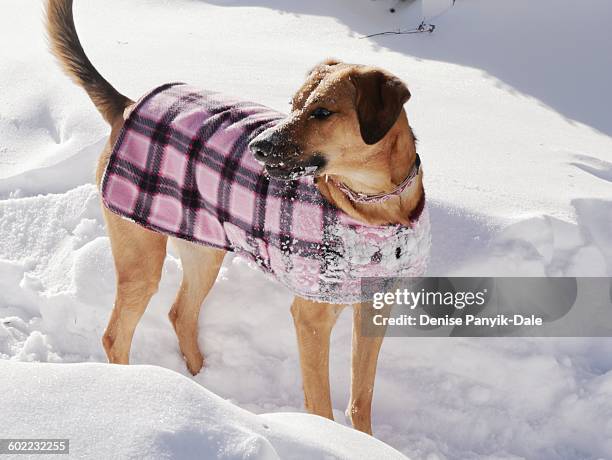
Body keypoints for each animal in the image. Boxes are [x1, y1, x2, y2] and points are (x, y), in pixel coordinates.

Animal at [46, 0, 426, 434]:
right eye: (294, 105)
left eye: (322, 112)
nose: (258, 147)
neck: (375, 208)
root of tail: (128, 106)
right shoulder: (312, 318)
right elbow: (320, 405)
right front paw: (328, 438)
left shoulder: (375, 307)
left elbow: (361, 399)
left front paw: (366, 442)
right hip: (140, 254)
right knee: (115, 336)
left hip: (204, 247)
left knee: (181, 314)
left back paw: (202, 387)